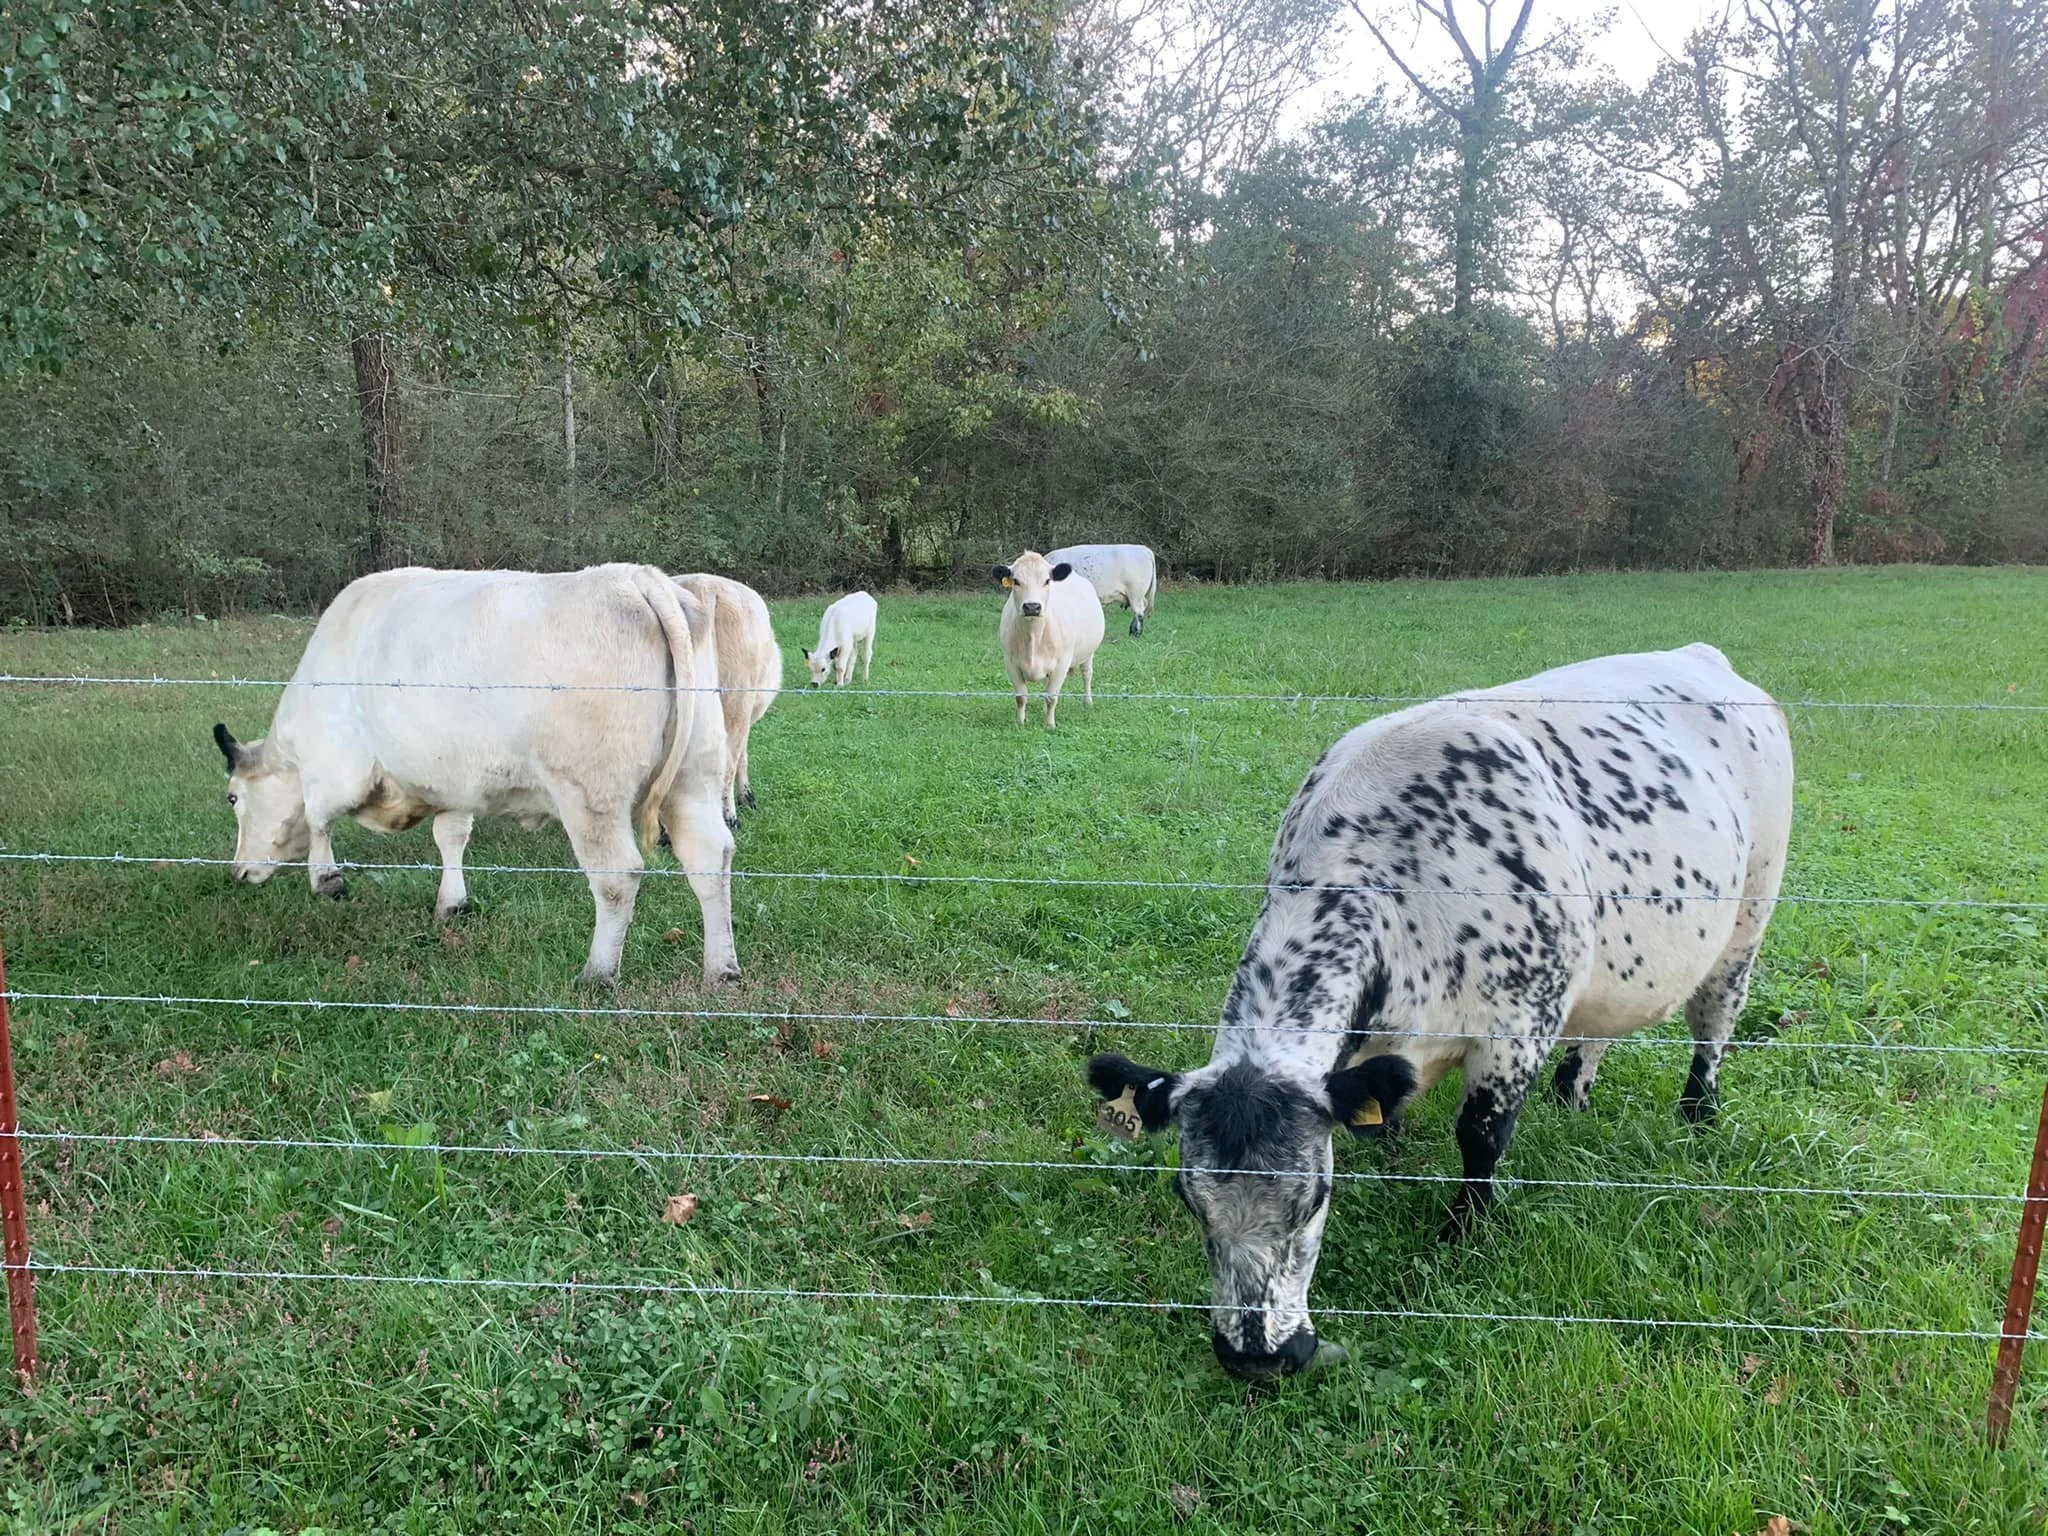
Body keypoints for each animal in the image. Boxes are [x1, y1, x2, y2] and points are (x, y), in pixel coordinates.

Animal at [211, 563, 739, 987]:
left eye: (233, 797)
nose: (238, 871)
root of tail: (636, 578)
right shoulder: (454, 781)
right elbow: (451, 836)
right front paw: (452, 903)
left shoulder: (338, 767)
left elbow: (318, 818)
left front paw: (327, 880)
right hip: (696, 777)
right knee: (710, 858)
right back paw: (721, 969)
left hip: (590, 794)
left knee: (617, 876)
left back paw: (598, 973)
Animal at [674, 573, 781, 827]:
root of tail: (704, 586)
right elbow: (743, 756)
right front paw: (747, 796)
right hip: (736, 704)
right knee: (728, 763)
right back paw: (729, 816)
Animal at [995, 550, 1106, 729]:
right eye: (1016, 581)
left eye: (1047, 581)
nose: (1032, 607)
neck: (1033, 636)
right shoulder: (1011, 663)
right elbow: (1021, 696)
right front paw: (1020, 722)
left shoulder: (1062, 664)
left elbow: (1052, 697)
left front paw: (1050, 725)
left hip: (1089, 653)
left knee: (1087, 674)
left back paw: (1087, 701)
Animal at [1086, 644, 1794, 1380]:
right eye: (1188, 1199)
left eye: (1316, 1198)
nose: (1258, 1358)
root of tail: (1702, 656)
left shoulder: (1519, 1026)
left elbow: (1480, 1136)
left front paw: (1464, 1235)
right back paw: (1572, 1095)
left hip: (1749, 916)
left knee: (1715, 1023)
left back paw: (1698, 1116)